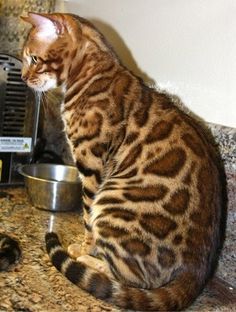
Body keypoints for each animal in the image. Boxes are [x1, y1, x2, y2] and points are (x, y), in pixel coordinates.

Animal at [20, 12, 225, 312]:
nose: (23, 78)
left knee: (131, 278)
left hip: (112, 201)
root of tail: (196, 269)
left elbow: (86, 218)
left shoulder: (90, 163)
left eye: (34, 59)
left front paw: (85, 247)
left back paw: (90, 261)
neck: (93, 68)